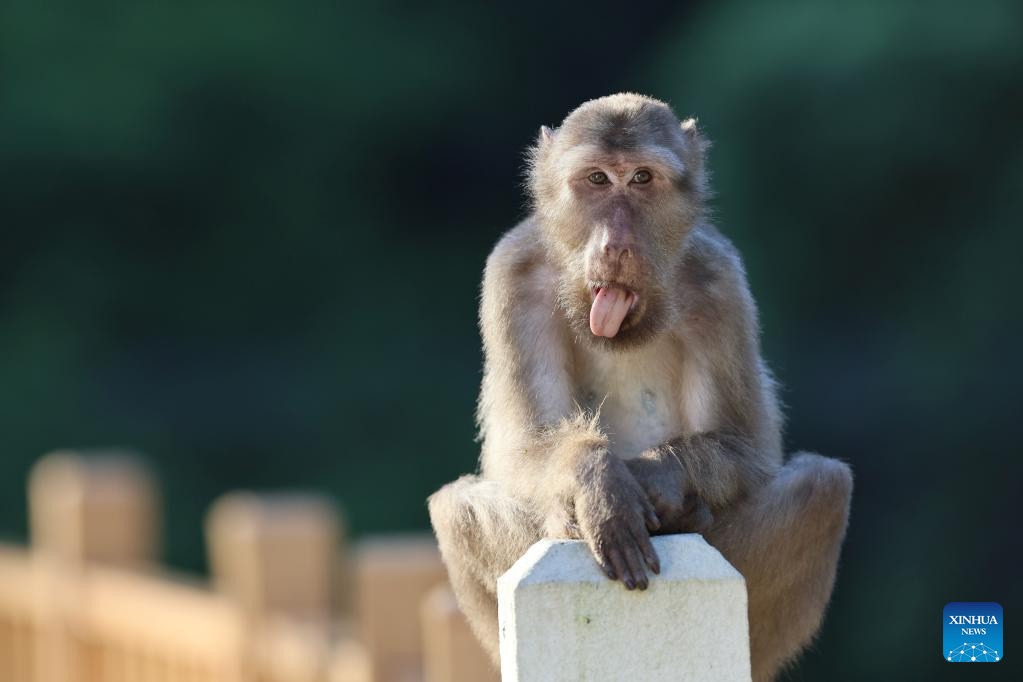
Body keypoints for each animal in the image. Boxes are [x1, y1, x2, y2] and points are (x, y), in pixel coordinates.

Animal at [427, 92, 851, 682]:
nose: (617, 245)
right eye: (598, 179)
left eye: (642, 178)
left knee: (822, 487)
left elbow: (747, 449)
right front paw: (595, 479)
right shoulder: (512, 274)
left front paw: (656, 476)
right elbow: (527, 446)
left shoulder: (721, 281)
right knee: (456, 505)